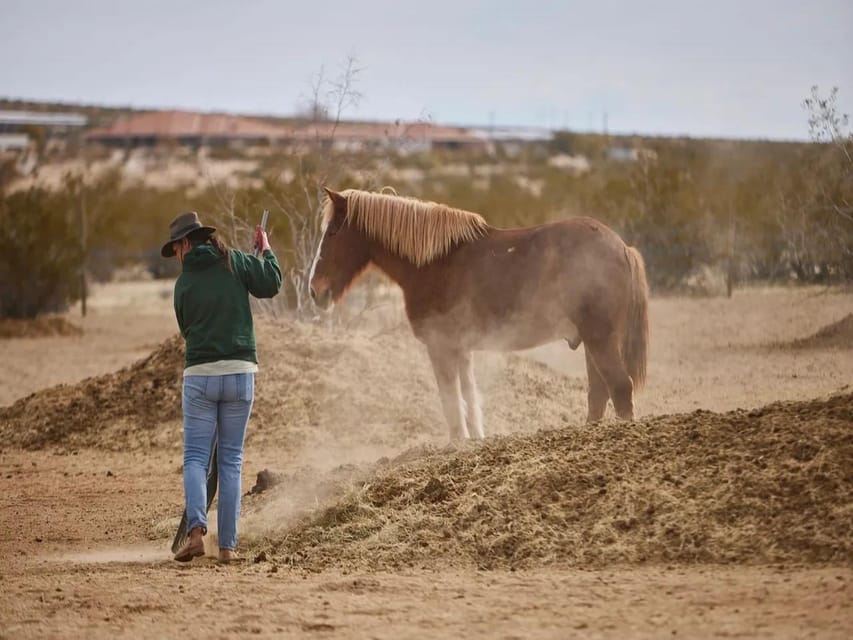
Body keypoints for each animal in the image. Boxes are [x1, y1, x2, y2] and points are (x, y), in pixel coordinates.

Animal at [310, 186, 648, 440]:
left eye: (333, 233)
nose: (315, 291)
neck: (434, 263)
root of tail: (622, 247)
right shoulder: (461, 350)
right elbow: (469, 401)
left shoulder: (441, 346)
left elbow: (451, 404)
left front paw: (457, 444)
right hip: (593, 343)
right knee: (598, 394)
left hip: (600, 339)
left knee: (620, 388)